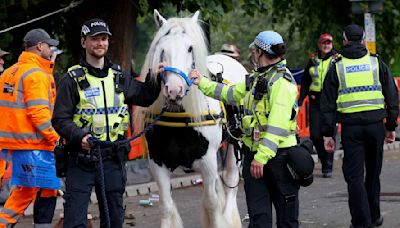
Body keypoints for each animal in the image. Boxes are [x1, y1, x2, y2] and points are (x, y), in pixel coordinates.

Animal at [136, 10, 242, 228]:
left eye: (190, 48)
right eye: (162, 49)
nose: (174, 90)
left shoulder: (208, 162)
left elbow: (211, 203)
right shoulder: (157, 163)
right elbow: (166, 206)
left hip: (235, 145)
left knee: (230, 182)